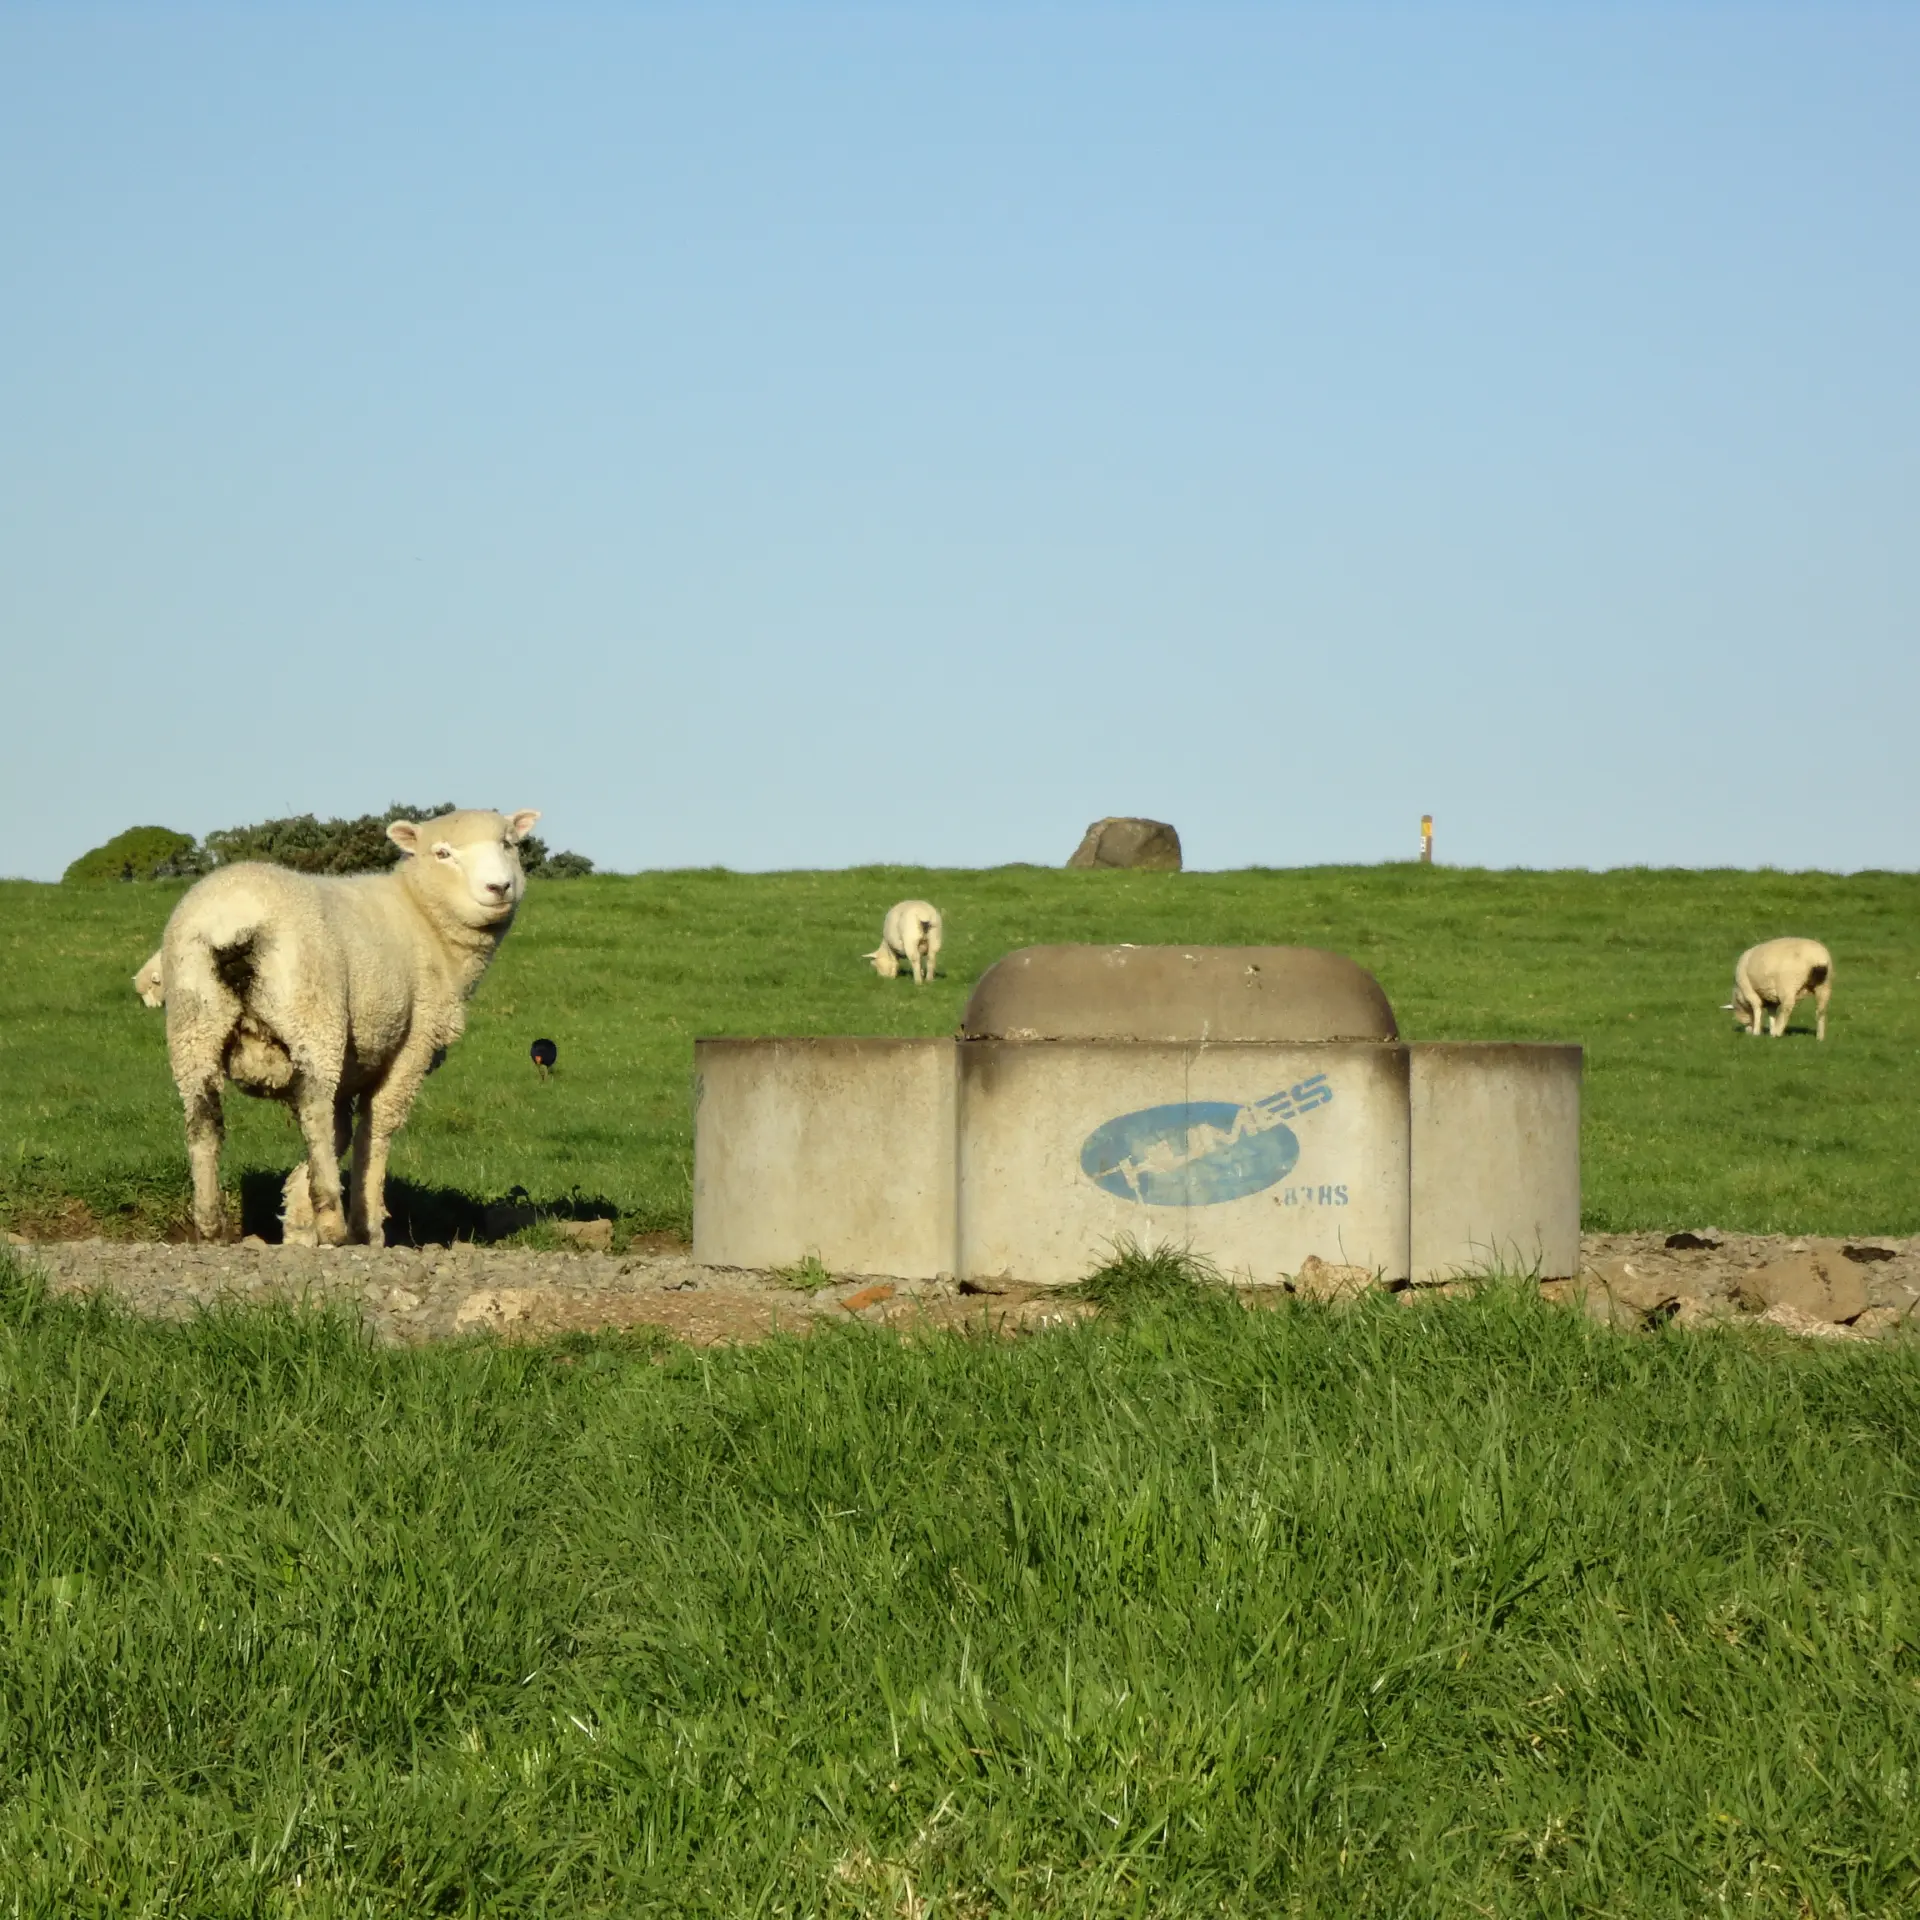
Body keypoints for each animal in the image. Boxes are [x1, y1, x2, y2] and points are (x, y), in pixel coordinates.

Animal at [156, 807, 540, 1245]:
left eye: (509, 844)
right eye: (442, 853)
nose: (499, 887)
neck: (424, 918)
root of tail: (230, 921)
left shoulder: (353, 1065)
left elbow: (344, 1130)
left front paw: (298, 1223)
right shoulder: (414, 1043)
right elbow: (375, 1127)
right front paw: (365, 1226)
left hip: (194, 1019)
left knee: (203, 1119)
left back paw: (210, 1224)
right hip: (313, 1014)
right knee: (314, 1113)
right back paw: (332, 1219)